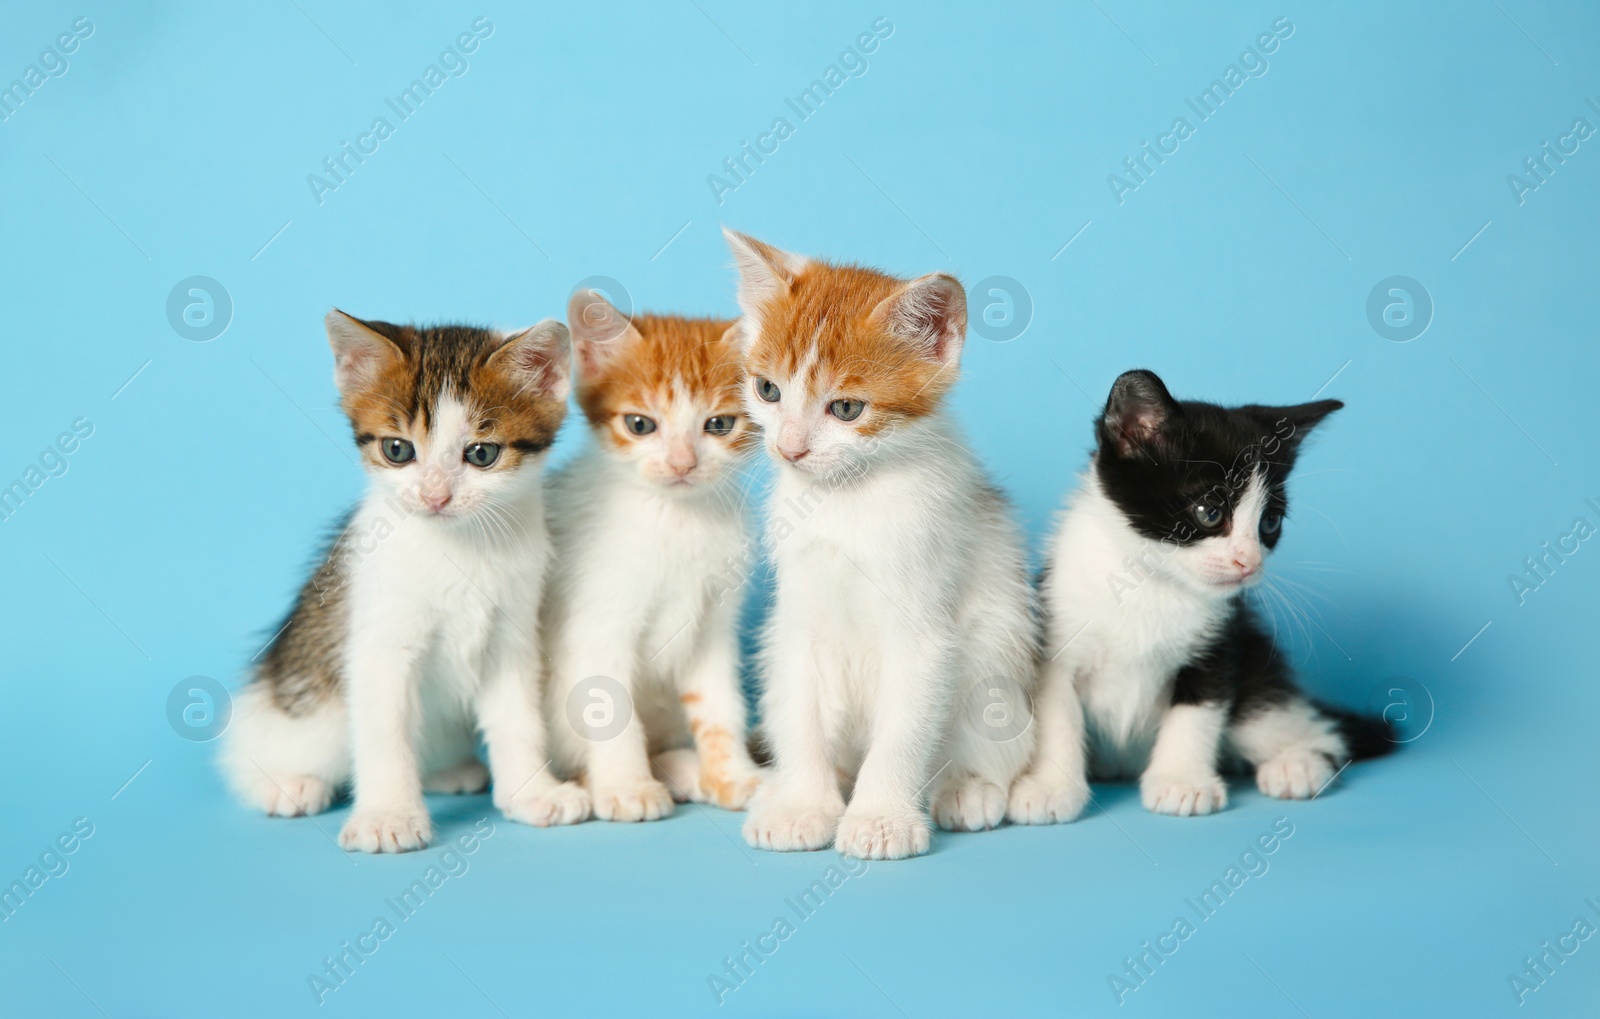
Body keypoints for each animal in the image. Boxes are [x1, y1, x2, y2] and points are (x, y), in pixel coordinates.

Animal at [216, 310, 585, 851]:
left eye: (481, 454)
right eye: (397, 450)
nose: (434, 495)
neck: (458, 547)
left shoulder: (511, 638)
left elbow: (518, 718)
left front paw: (533, 792)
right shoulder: (380, 644)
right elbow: (384, 733)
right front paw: (387, 816)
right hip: (302, 713)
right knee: (246, 754)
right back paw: (286, 782)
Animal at [544, 289, 768, 825]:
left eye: (719, 424)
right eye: (640, 424)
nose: (682, 463)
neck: (674, 519)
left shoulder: (713, 627)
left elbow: (719, 704)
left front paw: (733, 776)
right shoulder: (597, 624)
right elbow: (608, 706)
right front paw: (627, 786)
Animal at [726, 230, 1036, 857]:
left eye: (846, 408)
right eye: (767, 390)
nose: (789, 448)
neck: (844, 502)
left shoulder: (924, 631)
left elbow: (903, 732)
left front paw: (880, 818)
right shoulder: (798, 619)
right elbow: (801, 711)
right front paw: (803, 806)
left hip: (999, 646)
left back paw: (968, 788)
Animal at [1017, 369, 1395, 825]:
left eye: (1270, 523)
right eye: (1210, 512)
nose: (1248, 562)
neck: (1151, 584)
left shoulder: (1220, 645)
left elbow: (1197, 713)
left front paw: (1181, 782)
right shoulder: (1054, 641)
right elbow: (1057, 714)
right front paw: (1051, 788)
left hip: (1256, 675)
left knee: (1313, 729)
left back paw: (1298, 764)